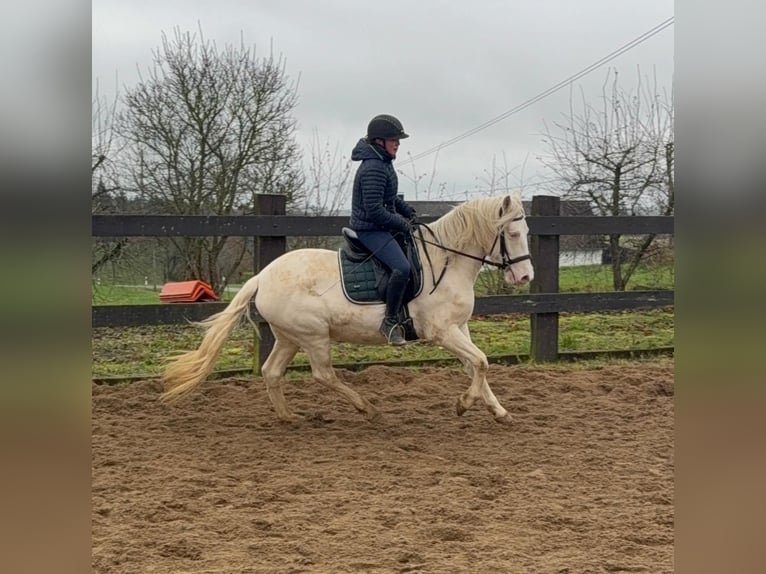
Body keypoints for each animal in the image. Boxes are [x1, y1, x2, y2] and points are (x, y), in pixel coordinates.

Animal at [160, 192, 534, 424]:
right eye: (513, 233)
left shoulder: (460, 328)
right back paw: (367, 409)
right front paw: (463, 405)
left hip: (289, 337)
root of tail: (262, 276)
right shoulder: (442, 332)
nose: (525, 276)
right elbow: (481, 363)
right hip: (313, 337)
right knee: (324, 375)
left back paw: (288, 417)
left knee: (272, 372)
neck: (447, 261)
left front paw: (499, 412)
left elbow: (476, 365)